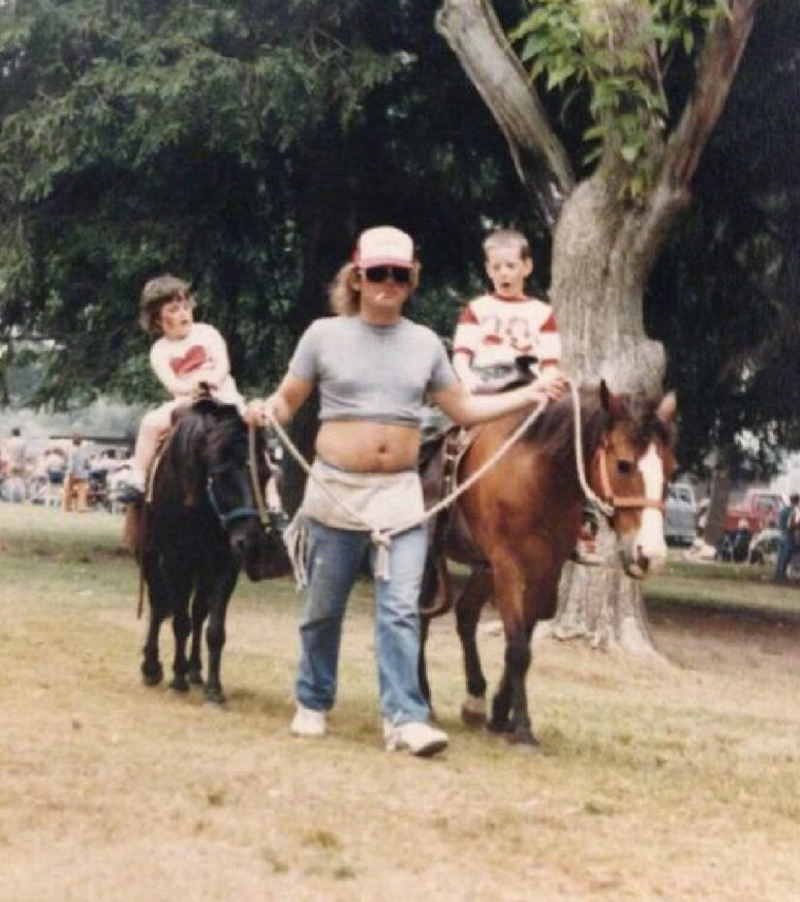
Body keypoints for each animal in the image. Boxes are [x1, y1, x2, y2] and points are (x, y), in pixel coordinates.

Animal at [130, 402, 292, 708]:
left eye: (265, 474)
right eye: (223, 475)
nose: (250, 543)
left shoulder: (223, 566)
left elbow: (214, 630)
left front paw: (214, 688)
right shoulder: (175, 562)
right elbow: (179, 622)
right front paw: (176, 679)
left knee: (197, 613)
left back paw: (194, 670)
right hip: (153, 558)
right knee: (159, 606)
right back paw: (153, 666)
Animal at [418, 384, 676, 744]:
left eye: (671, 469)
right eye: (623, 464)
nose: (650, 554)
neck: (539, 474)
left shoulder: (546, 569)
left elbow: (524, 640)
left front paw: (501, 715)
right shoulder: (508, 566)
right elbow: (517, 648)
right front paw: (522, 728)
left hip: (483, 568)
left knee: (465, 614)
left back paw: (474, 699)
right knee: (421, 619)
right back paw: (425, 698)